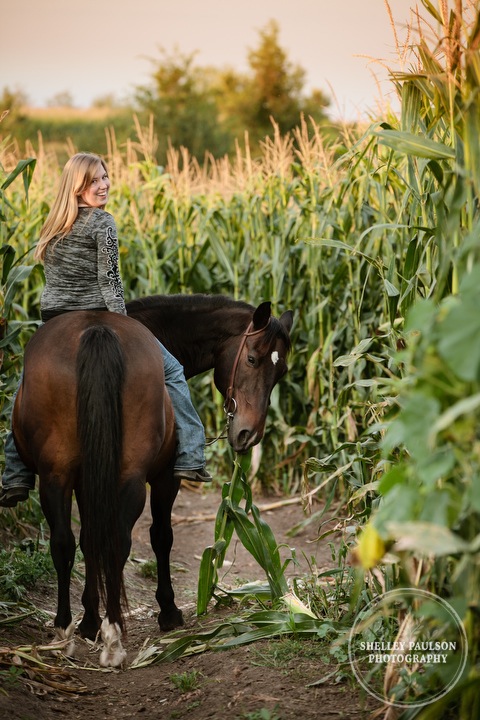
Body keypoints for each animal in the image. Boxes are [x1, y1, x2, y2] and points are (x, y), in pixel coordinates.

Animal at [12, 296, 292, 668]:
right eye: (251, 359)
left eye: (281, 372)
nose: (249, 434)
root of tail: (96, 331)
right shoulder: (164, 478)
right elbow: (161, 538)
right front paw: (169, 611)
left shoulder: (87, 480)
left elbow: (89, 541)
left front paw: (89, 621)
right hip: (125, 477)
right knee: (117, 542)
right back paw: (112, 638)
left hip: (57, 476)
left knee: (65, 544)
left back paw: (68, 632)